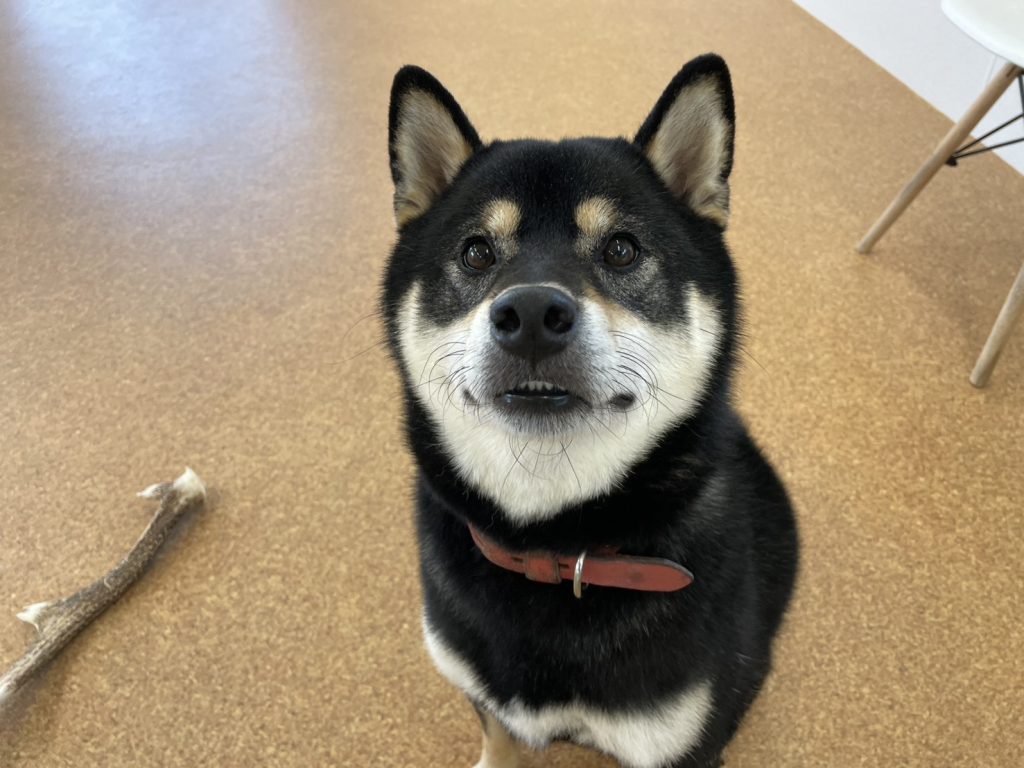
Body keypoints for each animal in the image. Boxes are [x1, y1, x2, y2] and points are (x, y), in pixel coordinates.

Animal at [381, 54, 799, 768]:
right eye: (476, 252)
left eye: (622, 250)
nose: (530, 314)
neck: (551, 549)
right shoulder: (491, 704)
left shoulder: (675, 742)